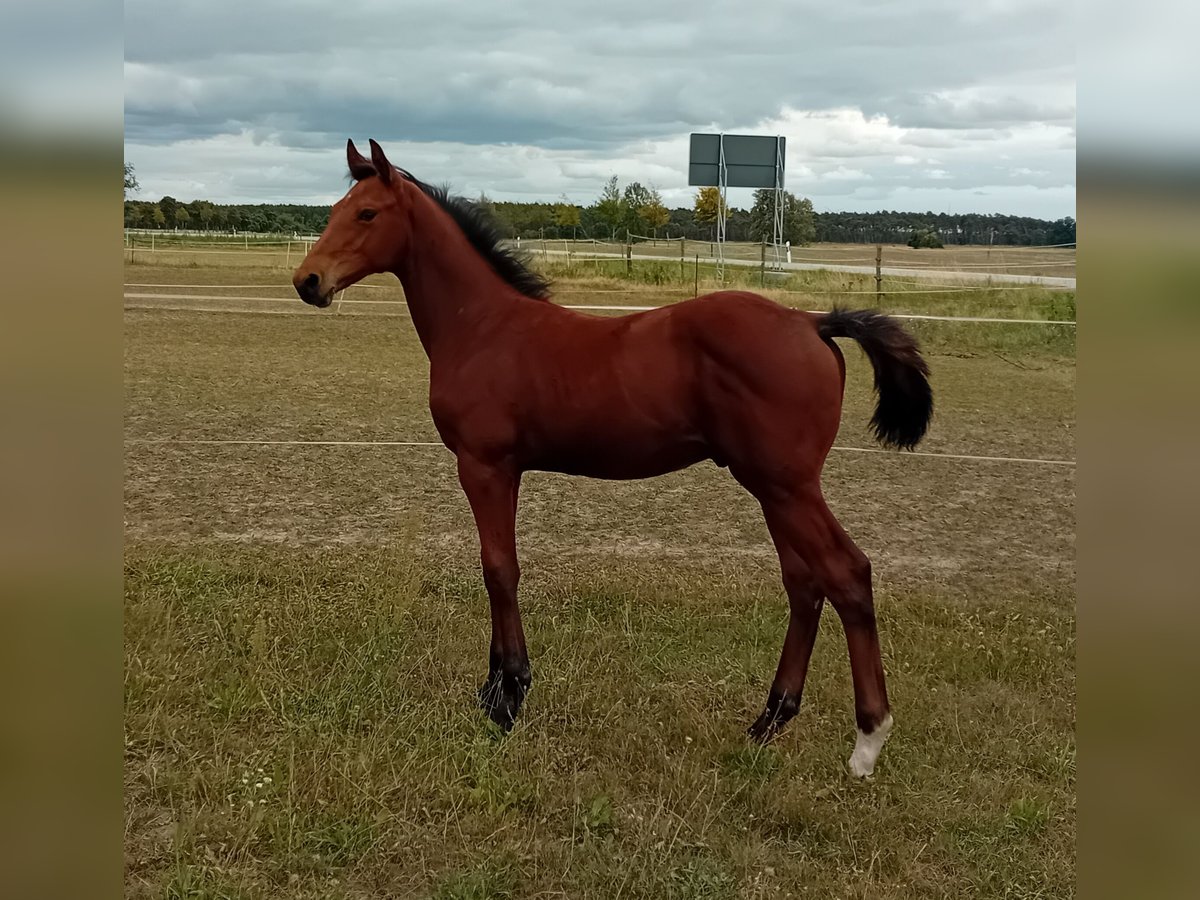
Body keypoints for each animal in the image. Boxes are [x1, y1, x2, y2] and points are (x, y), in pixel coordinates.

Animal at [293, 139, 932, 777]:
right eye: (335, 208)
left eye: (367, 213)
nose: (307, 281)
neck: (482, 328)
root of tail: (812, 322)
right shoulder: (502, 469)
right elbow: (502, 567)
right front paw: (499, 688)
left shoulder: (484, 466)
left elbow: (499, 569)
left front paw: (506, 697)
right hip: (774, 487)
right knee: (804, 583)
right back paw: (768, 721)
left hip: (787, 485)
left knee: (847, 574)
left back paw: (867, 741)